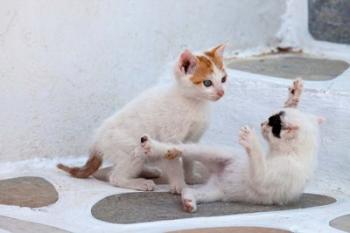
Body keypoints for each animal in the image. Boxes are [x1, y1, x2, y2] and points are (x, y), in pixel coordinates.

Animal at [56, 44, 230, 193]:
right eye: (207, 83)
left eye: (223, 79)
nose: (221, 92)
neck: (194, 104)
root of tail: (97, 142)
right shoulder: (170, 138)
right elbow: (174, 163)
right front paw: (180, 186)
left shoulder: (193, 139)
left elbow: (189, 158)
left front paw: (191, 178)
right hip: (133, 149)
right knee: (114, 177)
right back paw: (139, 183)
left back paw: (149, 171)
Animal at [141, 78, 324, 211]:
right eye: (270, 118)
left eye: (272, 123)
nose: (262, 123)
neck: (291, 153)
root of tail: (217, 176)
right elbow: (291, 106)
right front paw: (295, 94)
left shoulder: (269, 178)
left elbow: (259, 167)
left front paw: (251, 139)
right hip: (214, 155)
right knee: (183, 150)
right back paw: (162, 149)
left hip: (214, 191)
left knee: (190, 189)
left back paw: (188, 200)